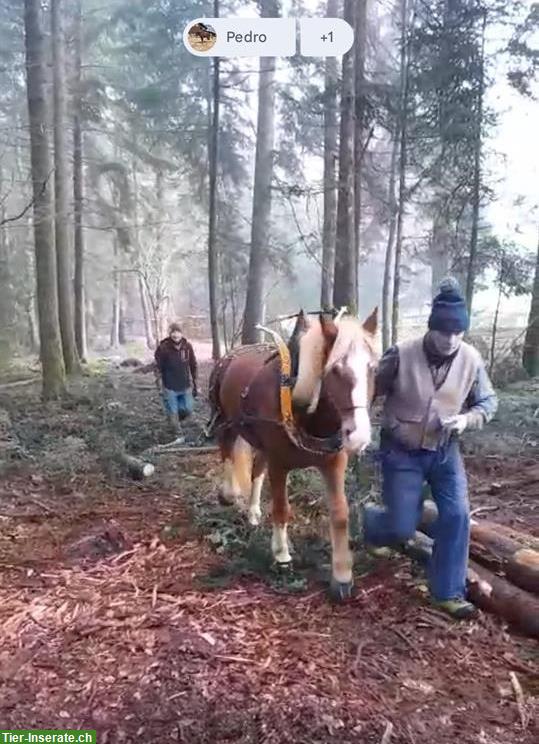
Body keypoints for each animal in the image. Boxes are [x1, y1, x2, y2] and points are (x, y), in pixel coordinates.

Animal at [209, 308, 378, 600]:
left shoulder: (334, 462)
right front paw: (281, 554)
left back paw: (253, 512)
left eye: (372, 368)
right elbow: (281, 509)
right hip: (226, 422)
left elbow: (340, 514)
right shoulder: (280, 464)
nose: (359, 436)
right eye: (335, 370)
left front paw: (342, 576)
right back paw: (229, 495)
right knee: (227, 452)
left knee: (256, 470)